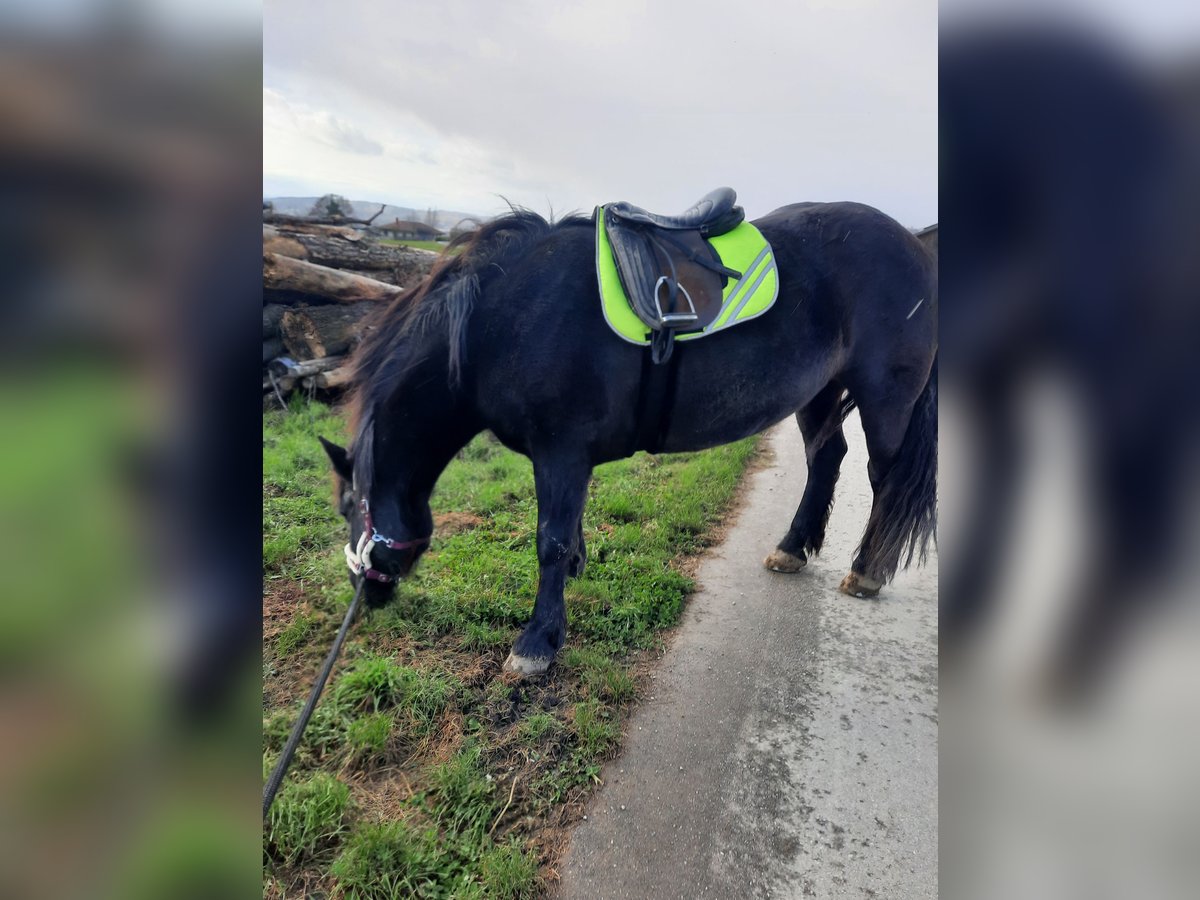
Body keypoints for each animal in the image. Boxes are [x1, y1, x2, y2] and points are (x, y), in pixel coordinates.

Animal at [321, 199, 936, 676]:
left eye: (350, 505)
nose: (365, 591)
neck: (503, 319)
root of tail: (912, 245)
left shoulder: (560, 452)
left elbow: (550, 540)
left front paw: (537, 641)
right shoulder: (569, 459)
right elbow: (568, 532)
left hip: (886, 396)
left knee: (883, 477)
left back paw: (867, 570)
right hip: (819, 391)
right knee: (826, 458)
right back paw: (792, 548)